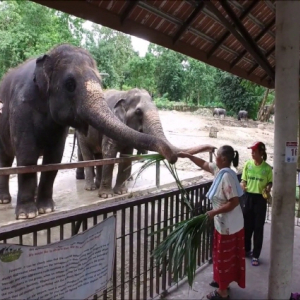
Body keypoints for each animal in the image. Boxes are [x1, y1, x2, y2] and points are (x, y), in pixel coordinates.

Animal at [0, 43, 182, 219]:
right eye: (138, 112)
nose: (173, 157)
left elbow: (55, 159)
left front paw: (120, 192)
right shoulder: (21, 107)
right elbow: (28, 156)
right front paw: (29, 215)